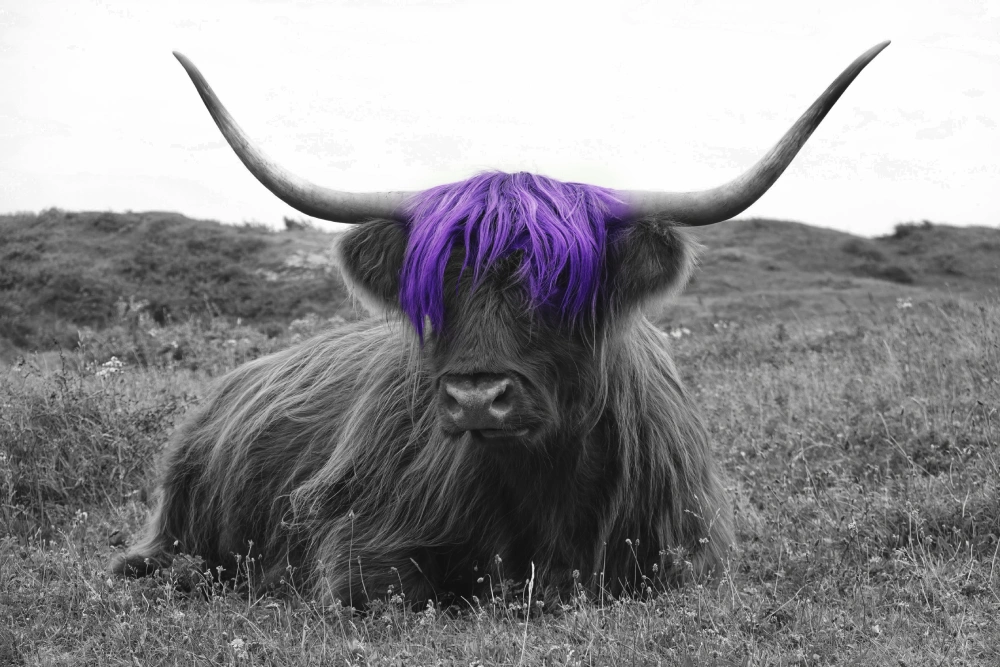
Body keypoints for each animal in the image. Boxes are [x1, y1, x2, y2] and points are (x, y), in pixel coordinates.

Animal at [111, 42, 889, 606]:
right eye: (438, 285)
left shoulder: (687, 556)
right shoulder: (360, 542)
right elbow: (393, 592)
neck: (546, 493)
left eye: (561, 285)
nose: (476, 398)